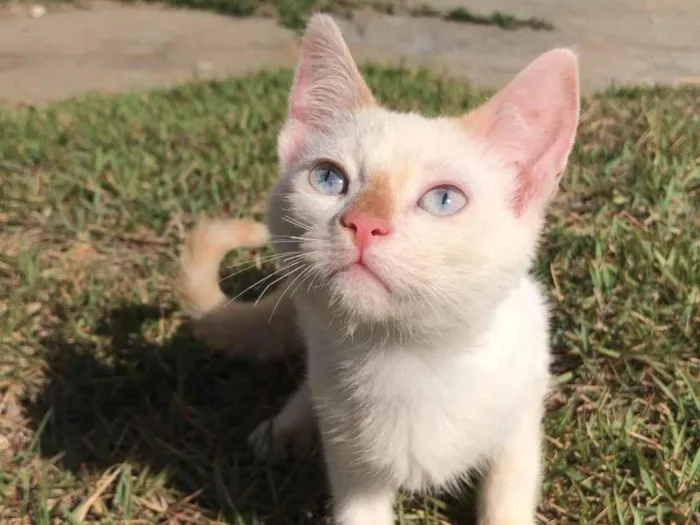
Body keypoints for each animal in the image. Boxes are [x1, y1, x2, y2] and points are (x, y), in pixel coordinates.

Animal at [176, 12, 580, 524]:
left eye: (443, 199)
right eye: (328, 178)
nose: (364, 224)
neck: (407, 360)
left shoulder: (521, 412)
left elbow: (507, 493)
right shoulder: (351, 462)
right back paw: (287, 426)